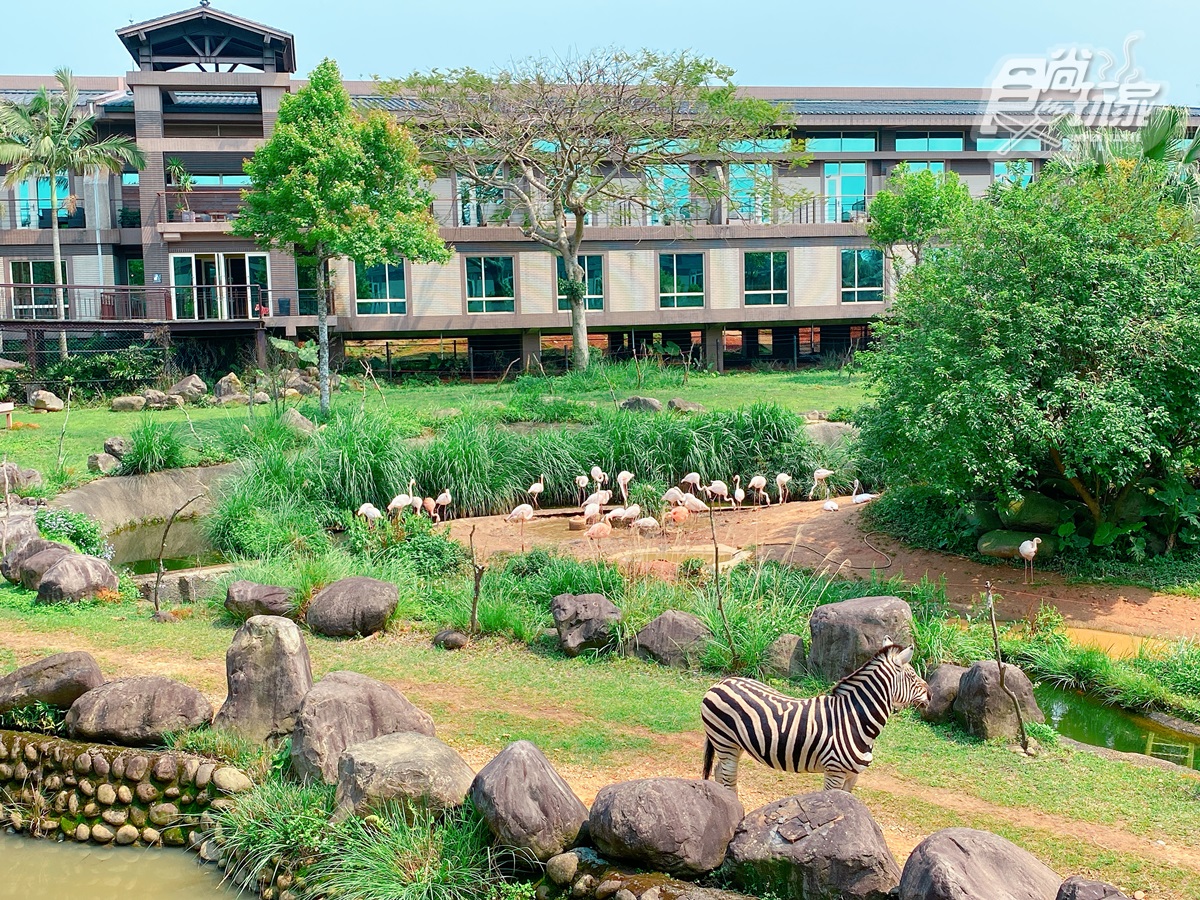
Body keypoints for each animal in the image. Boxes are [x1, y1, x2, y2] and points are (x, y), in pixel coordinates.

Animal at [700, 643, 931, 792]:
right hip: (724, 741)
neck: (855, 720)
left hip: (733, 745)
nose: (931, 694)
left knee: (720, 771)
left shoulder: (853, 775)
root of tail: (721, 682)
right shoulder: (834, 771)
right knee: (729, 778)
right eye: (912, 676)